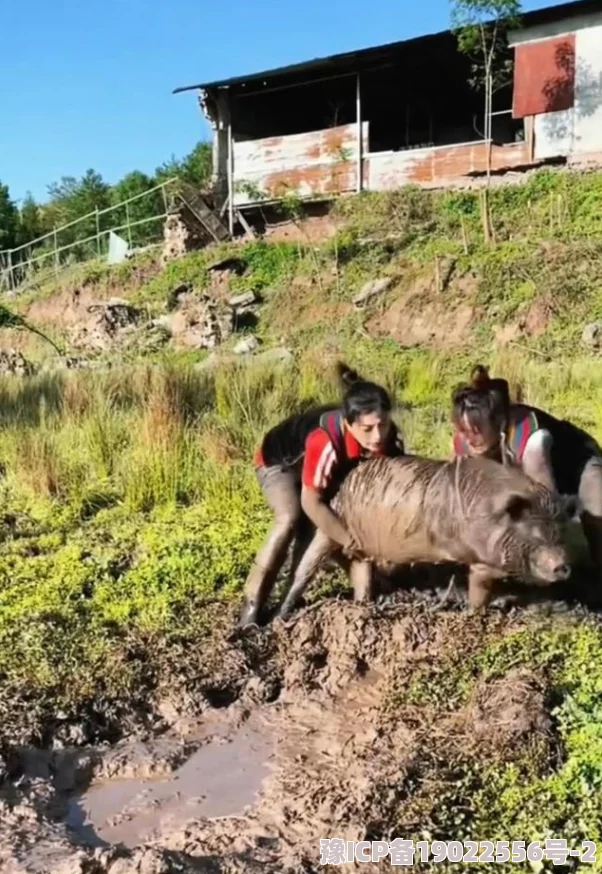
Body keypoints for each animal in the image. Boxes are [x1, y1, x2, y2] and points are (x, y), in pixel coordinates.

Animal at [274, 454, 576, 616]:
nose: (563, 565)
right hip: (328, 527)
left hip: (359, 552)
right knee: (304, 567)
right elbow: (480, 590)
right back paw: (281, 615)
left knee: (360, 572)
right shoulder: (479, 561)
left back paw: (365, 604)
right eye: (535, 533)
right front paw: (477, 612)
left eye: (559, 532)